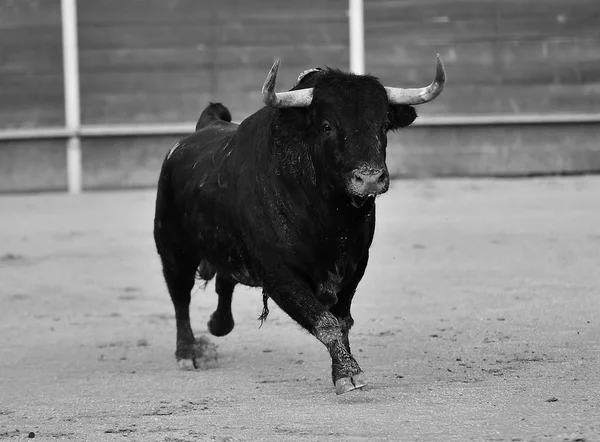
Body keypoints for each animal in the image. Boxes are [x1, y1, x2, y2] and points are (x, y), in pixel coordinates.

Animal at [155, 57, 446, 394]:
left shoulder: (355, 267)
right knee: (180, 297)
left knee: (223, 283)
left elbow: (342, 322)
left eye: (383, 124)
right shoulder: (279, 275)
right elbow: (325, 322)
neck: (330, 217)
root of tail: (198, 132)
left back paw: (217, 326)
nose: (370, 178)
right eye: (327, 126)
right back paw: (187, 353)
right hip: (173, 248)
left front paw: (345, 369)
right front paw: (348, 373)